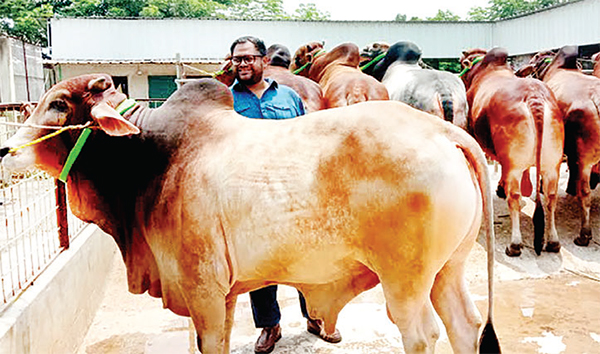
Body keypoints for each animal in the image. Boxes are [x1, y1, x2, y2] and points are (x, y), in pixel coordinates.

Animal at [462, 47, 564, 258]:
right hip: (553, 165)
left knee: (515, 197)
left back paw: (515, 244)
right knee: (551, 197)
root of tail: (534, 97)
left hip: (514, 164)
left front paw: (499, 188)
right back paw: (553, 241)